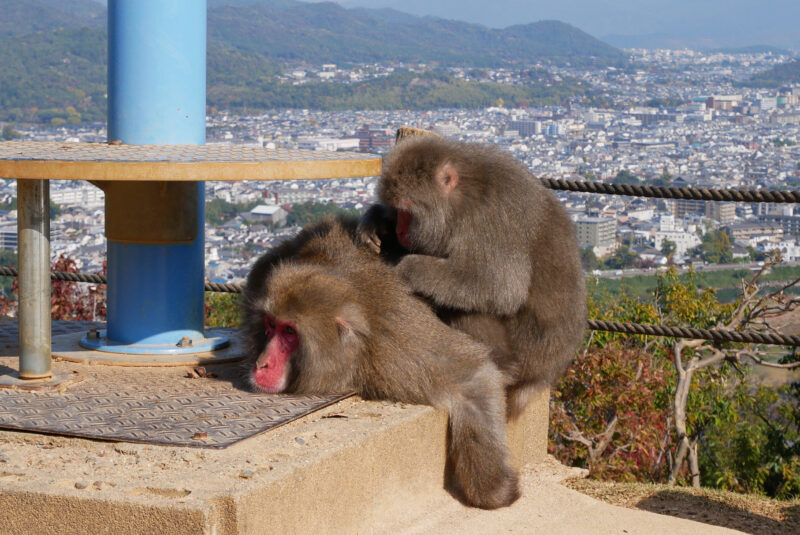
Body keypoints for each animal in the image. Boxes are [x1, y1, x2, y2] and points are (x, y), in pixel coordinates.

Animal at [242, 217, 520, 510]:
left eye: (289, 332)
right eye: (271, 325)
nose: (262, 364)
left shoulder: (397, 351)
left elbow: (472, 376)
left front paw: (493, 487)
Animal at [360, 136, 584, 420]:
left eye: (406, 211)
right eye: (397, 210)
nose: (399, 230)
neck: (461, 196)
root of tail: (547, 373)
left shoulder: (492, 219)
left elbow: (499, 287)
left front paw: (408, 267)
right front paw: (376, 220)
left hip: (525, 350)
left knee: (468, 304)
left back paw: (502, 369)